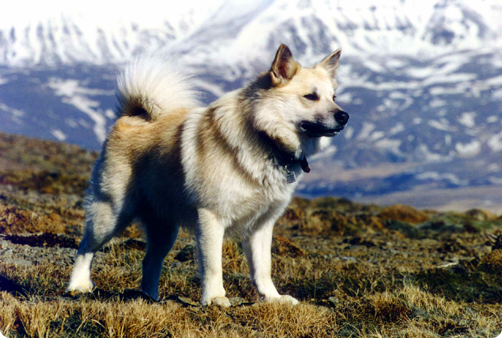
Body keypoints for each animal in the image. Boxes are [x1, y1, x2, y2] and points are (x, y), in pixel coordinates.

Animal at [66, 44, 348, 306]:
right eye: (310, 96)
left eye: (334, 96)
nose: (344, 116)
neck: (265, 138)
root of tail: (132, 114)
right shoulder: (211, 218)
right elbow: (213, 265)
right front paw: (214, 298)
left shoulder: (261, 226)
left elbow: (262, 268)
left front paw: (273, 298)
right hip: (111, 214)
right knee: (85, 247)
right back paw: (78, 286)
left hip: (164, 230)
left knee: (150, 261)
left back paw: (150, 297)